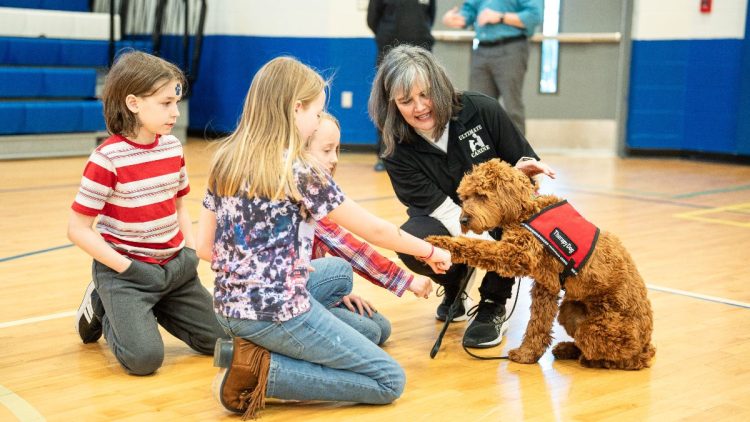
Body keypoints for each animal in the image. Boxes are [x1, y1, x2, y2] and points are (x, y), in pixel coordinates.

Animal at [428, 158, 656, 370]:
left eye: (482, 195)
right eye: (465, 197)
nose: (463, 220)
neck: (527, 212)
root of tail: (646, 346)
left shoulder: (515, 254)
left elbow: (477, 246)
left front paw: (442, 243)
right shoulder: (546, 286)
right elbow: (538, 324)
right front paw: (527, 354)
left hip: (599, 330)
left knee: (623, 359)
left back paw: (591, 360)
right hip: (569, 310)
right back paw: (567, 349)